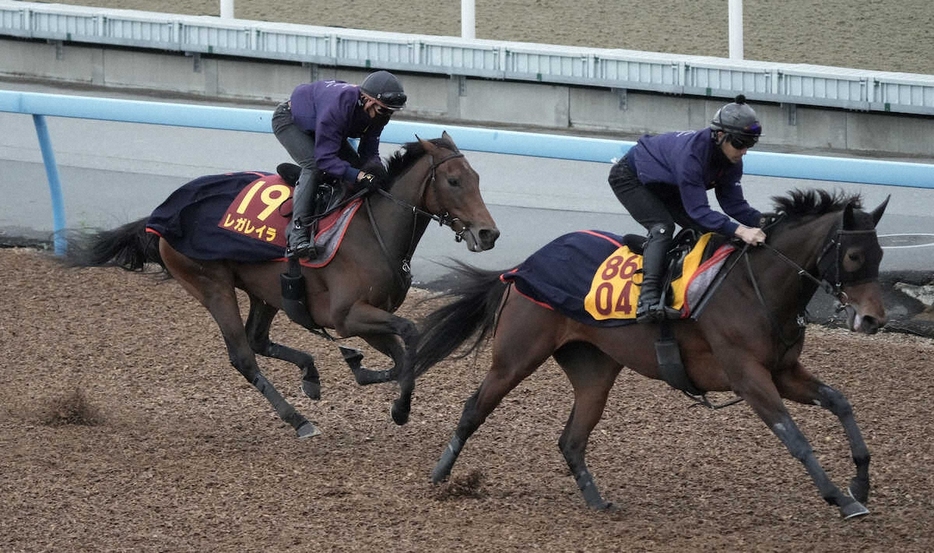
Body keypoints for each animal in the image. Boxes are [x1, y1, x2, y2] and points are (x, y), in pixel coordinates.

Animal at [62, 132, 500, 438]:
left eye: (478, 178)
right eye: (454, 180)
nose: (489, 233)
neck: (372, 229)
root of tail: (159, 215)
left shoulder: (367, 318)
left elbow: (397, 358)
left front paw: (359, 369)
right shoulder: (348, 316)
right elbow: (408, 339)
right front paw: (400, 408)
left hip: (267, 291)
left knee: (258, 339)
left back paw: (310, 376)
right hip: (211, 284)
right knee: (243, 355)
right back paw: (299, 420)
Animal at [418, 190, 892, 516]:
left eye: (880, 253)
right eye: (853, 255)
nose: (873, 318)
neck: (754, 286)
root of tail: (522, 267)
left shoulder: (783, 371)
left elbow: (839, 402)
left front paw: (860, 483)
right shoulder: (747, 375)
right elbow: (793, 435)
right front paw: (840, 498)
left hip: (594, 370)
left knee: (572, 439)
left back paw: (597, 501)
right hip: (516, 356)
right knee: (474, 408)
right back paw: (439, 478)